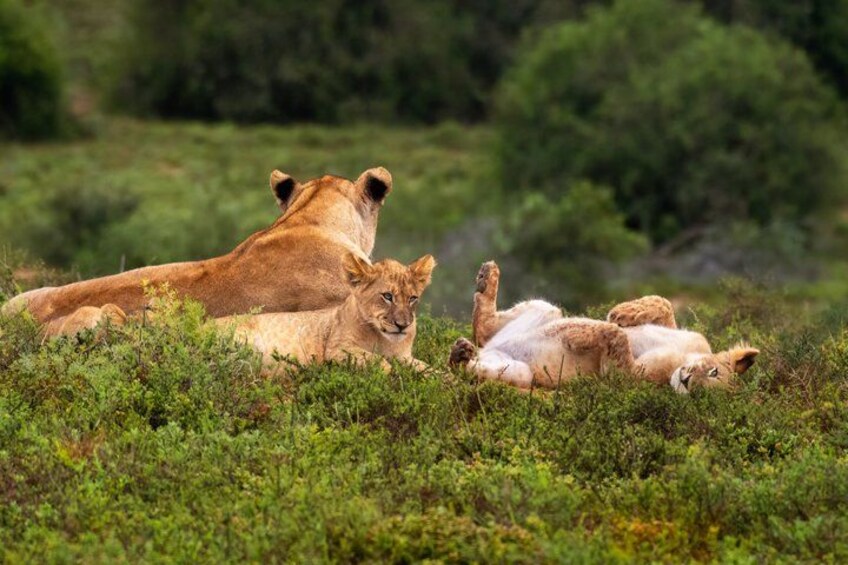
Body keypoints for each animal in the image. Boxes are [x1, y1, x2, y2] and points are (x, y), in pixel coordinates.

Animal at [218, 252, 436, 373]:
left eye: (412, 298)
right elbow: (380, 362)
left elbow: (431, 369)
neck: (382, 338)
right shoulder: (337, 349)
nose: (403, 325)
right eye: (387, 296)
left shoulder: (404, 356)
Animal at [449, 261, 758, 393]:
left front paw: (583, 333)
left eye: (702, 395)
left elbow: (617, 337)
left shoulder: (626, 378)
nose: (687, 382)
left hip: (520, 373)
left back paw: (460, 356)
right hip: (545, 309)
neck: (682, 358)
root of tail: (489, 351)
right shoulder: (691, 335)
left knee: (472, 367)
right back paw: (486, 277)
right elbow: (663, 303)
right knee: (483, 328)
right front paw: (622, 312)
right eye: (713, 371)